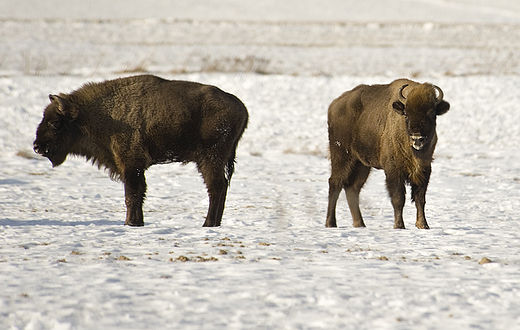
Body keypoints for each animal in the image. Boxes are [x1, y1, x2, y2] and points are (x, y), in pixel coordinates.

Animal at [33, 74, 249, 227]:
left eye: (55, 123)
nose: (37, 147)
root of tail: (241, 107)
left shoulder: (131, 164)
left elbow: (133, 195)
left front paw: (131, 222)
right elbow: (138, 194)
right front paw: (136, 222)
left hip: (210, 159)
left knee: (216, 187)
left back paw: (208, 223)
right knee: (221, 187)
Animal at [328, 79, 448, 229]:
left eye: (432, 114)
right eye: (406, 114)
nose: (417, 138)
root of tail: (334, 105)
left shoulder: (424, 170)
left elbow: (420, 199)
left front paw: (423, 225)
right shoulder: (393, 171)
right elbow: (398, 199)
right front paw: (399, 225)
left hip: (362, 164)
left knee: (352, 189)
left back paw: (360, 224)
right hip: (341, 157)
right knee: (335, 184)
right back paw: (331, 223)